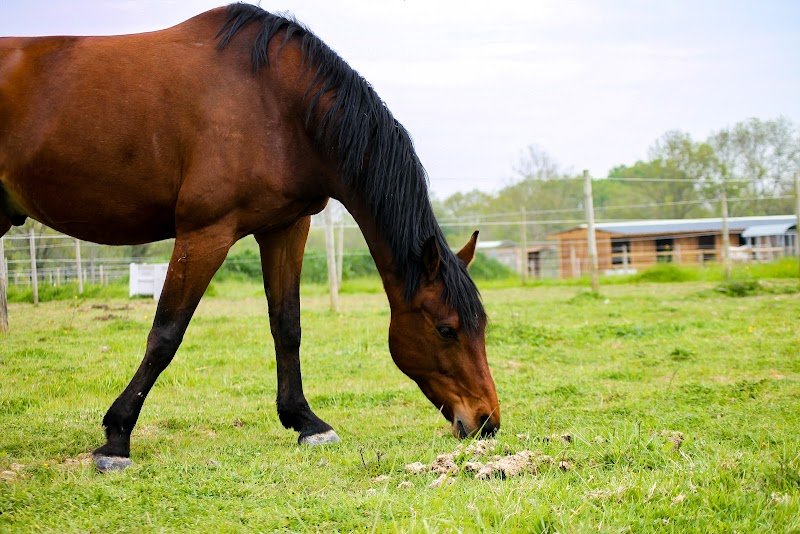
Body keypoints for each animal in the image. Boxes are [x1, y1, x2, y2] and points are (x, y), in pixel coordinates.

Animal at [0, 3, 500, 472]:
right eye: (446, 329)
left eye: (482, 326)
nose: (486, 421)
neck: (277, 101)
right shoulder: (206, 233)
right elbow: (166, 333)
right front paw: (117, 437)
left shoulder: (286, 228)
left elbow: (287, 325)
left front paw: (306, 422)